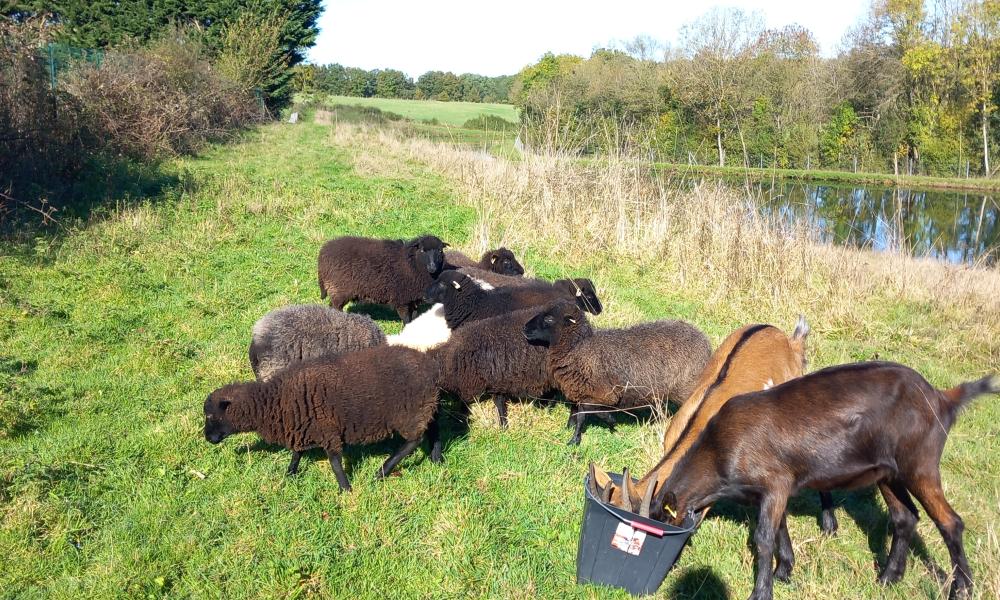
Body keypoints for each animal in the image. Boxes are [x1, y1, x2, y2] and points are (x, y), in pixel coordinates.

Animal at [204, 345, 442, 492]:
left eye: (211, 415)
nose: (208, 438)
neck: (273, 402)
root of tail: (430, 366)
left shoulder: (327, 430)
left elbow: (335, 463)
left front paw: (345, 489)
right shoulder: (301, 427)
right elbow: (297, 453)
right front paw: (290, 475)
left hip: (409, 412)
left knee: (413, 441)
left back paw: (382, 471)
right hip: (425, 405)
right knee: (434, 428)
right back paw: (436, 457)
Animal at [317, 234, 448, 323]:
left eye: (440, 251)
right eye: (422, 250)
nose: (432, 267)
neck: (411, 263)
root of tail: (323, 253)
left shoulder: (412, 299)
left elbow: (414, 317)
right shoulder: (401, 299)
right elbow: (406, 319)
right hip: (339, 289)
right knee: (335, 306)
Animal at [523, 300, 711, 445]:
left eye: (549, 318)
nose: (524, 328)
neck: (579, 348)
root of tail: (705, 342)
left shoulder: (604, 394)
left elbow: (586, 412)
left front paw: (582, 436)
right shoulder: (579, 390)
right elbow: (576, 412)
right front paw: (570, 429)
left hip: (688, 389)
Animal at [645, 363, 999, 600]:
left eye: (660, 518)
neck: (718, 450)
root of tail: (942, 399)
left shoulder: (775, 482)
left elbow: (763, 538)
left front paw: (762, 591)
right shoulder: (774, 491)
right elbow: (779, 530)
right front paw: (785, 571)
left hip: (919, 464)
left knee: (950, 522)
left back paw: (962, 589)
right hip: (888, 472)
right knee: (905, 518)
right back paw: (888, 578)